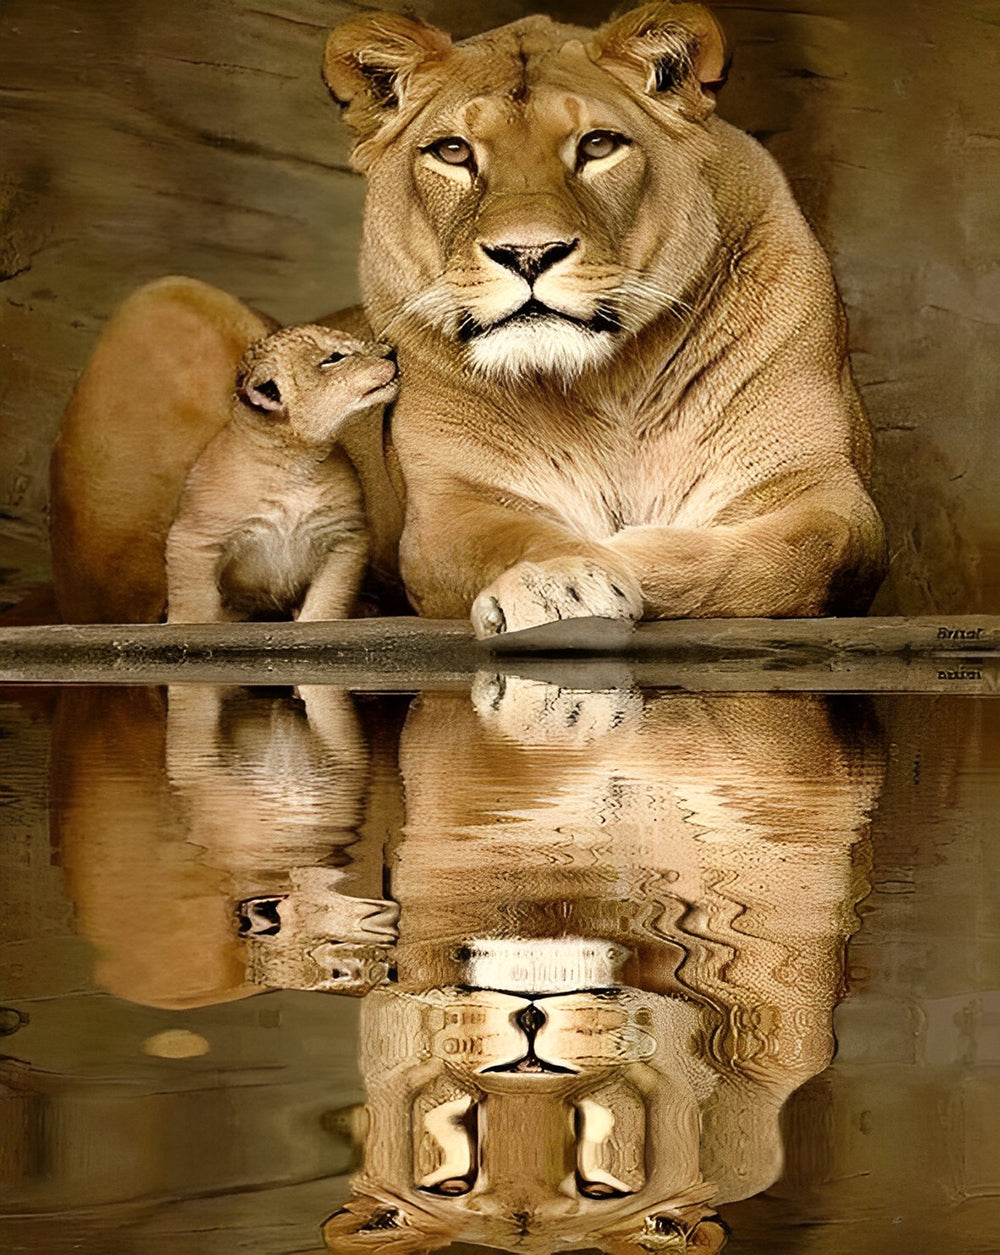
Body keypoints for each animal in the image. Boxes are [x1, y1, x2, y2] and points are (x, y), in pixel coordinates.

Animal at [166, 325, 397, 624]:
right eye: (334, 358)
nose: (393, 352)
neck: (295, 464)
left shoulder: (346, 535)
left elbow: (330, 595)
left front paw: (316, 619)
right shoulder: (194, 538)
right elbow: (193, 602)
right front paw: (187, 625)